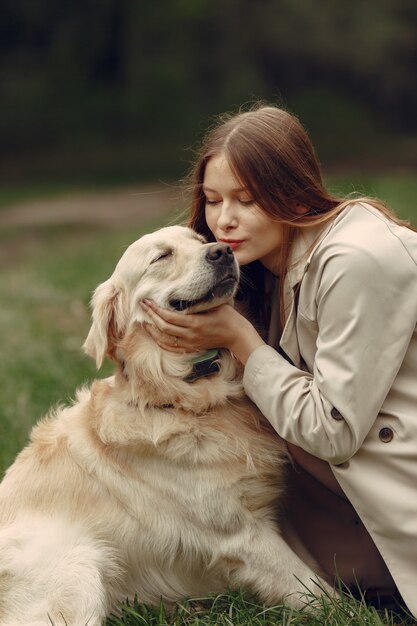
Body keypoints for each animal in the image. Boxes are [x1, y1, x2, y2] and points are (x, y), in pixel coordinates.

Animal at [0, 225, 324, 624]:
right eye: (161, 257)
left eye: (200, 242)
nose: (222, 251)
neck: (185, 398)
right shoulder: (242, 534)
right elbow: (318, 591)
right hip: (79, 570)